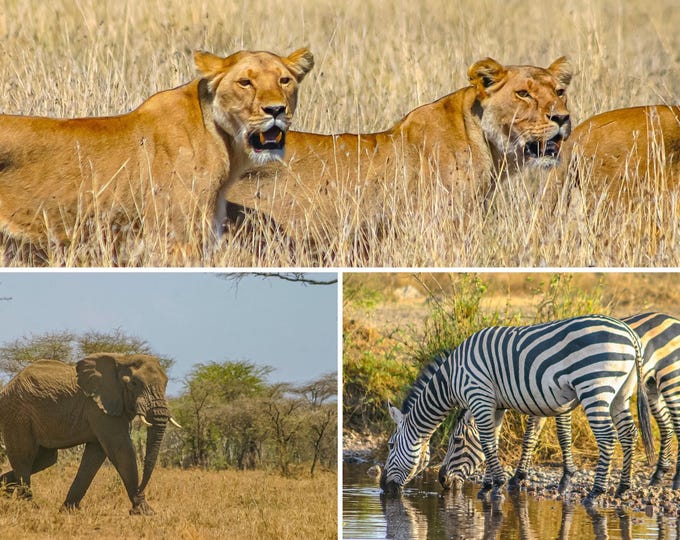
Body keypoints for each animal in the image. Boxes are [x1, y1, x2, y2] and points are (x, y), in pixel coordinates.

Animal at [0, 353, 180, 515]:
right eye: (135, 383)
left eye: (166, 384)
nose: (140, 489)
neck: (123, 359)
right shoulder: (98, 408)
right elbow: (121, 449)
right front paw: (145, 512)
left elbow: (95, 455)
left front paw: (68, 511)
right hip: (16, 414)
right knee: (24, 456)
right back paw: (30, 507)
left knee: (45, 459)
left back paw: (5, 493)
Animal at [379, 315, 655, 504]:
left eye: (391, 445)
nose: (382, 487)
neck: (450, 379)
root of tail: (630, 334)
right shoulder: (494, 404)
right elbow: (490, 442)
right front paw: (489, 486)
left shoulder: (478, 394)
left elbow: (488, 443)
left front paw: (498, 485)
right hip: (621, 393)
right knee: (629, 433)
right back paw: (622, 487)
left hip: (594, 387)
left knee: (608, 438)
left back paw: (595, 493)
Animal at [438, 312, 680, 492]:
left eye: (456, 441)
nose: (441, 479)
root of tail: (669, 317)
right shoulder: (543, 398)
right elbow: (532, 435)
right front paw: (520, 476)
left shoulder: (557, 397)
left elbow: (555, 435)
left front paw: (556, 477)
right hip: (650, 388)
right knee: (665, 425)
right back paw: (657, 476)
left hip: (670, 380)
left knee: (674, 424)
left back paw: (674, 480)